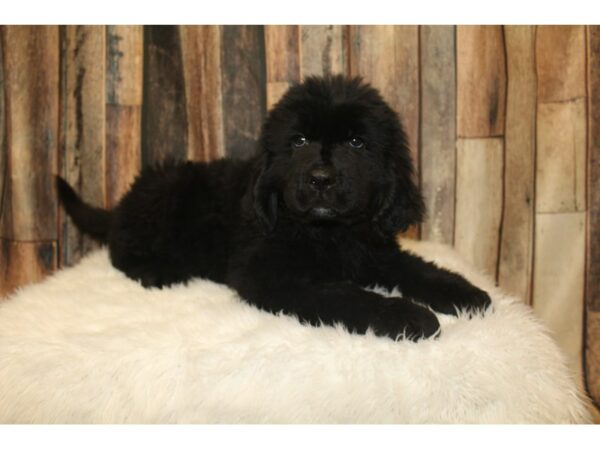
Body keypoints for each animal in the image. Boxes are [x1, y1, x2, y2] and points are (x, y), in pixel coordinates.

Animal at [56, 74, 490, 342]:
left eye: (356, 142)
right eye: (298, 142)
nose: (321, 179)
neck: (330, 234)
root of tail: (123, 202)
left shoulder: (377, 251)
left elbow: (417, 268)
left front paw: (466, 294)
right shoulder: (270, 273)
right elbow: (345, 294)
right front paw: (408, 316)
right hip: (167, 193)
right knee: (121, 249)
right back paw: (157, 271)